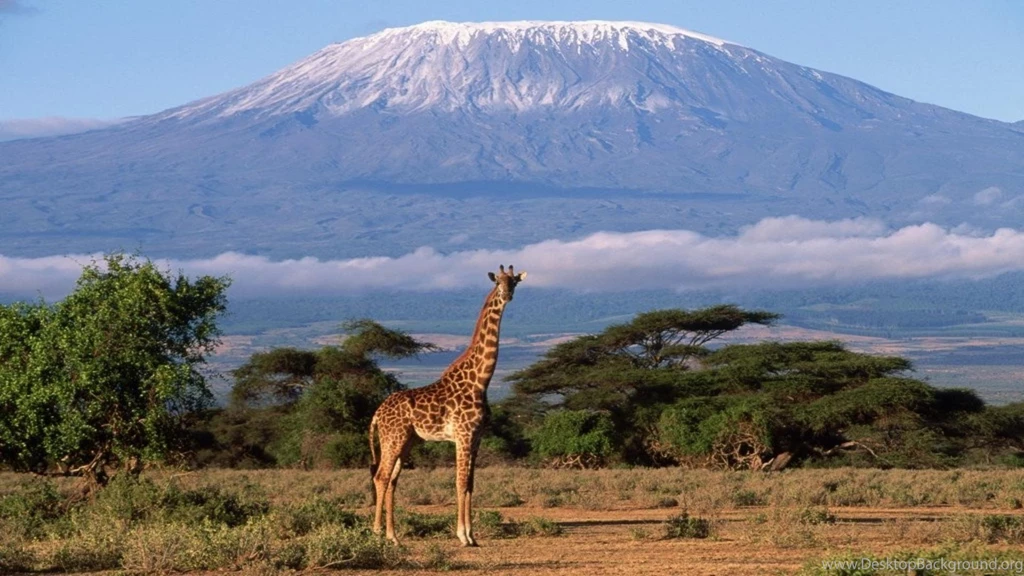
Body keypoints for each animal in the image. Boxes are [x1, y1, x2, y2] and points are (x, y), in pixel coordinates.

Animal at [369, 264, 527, 546]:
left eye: (515, 282)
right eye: (497, 282)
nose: (507, 294)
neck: (480, 381)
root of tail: (377, 413)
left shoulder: (476, 438)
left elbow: (471, 484)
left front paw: (472, 536)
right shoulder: (463, 435)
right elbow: (460, 483)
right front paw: (463, 536)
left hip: (407, 441)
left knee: (393, 480)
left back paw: (392, 536)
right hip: (392, 438)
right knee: (382, 476)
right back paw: (379, 534)